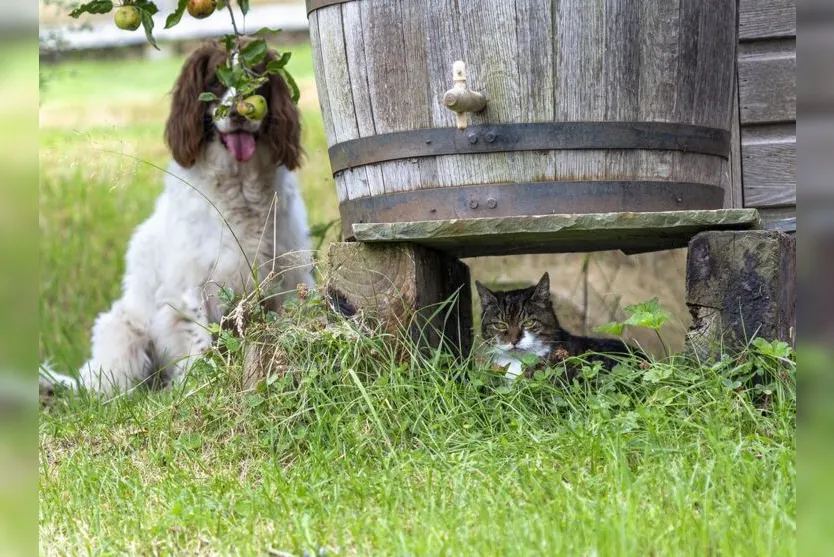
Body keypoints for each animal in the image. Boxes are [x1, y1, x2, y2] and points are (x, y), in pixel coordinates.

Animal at [39, 41, 312, 394]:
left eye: (255, 77)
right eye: (215, 81)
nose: (238, 112)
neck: (240, 188)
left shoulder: (287, 273)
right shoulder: (189, 285)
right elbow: (199, 341)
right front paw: (203, 384)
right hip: (121, 335)